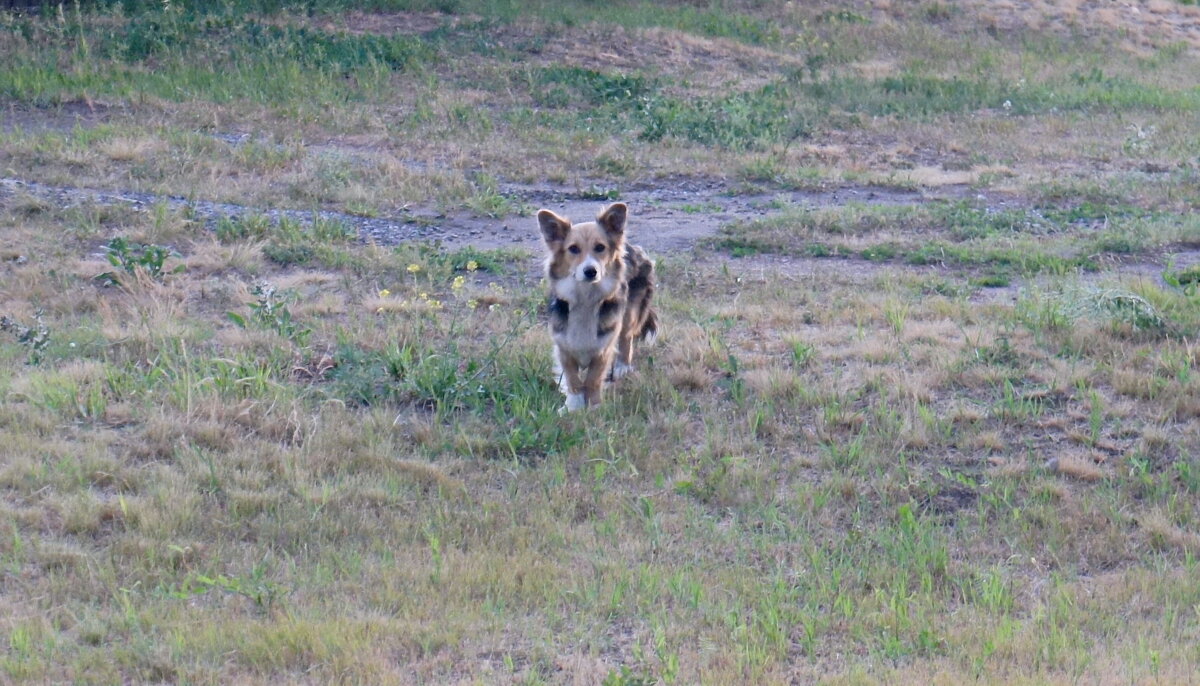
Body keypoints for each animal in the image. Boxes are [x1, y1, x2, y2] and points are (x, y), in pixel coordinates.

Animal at [540, 201, 662, 410]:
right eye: (573, 249)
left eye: (600, 247)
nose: (591, 271)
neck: (585, 296)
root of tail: (633, 248)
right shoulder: (563, 345)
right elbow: (573, 379)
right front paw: (573, 406)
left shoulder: (603, 347)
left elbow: (593, 379)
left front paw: (593, 406)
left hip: (629, 313)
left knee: (627, 338)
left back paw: (622, 367)